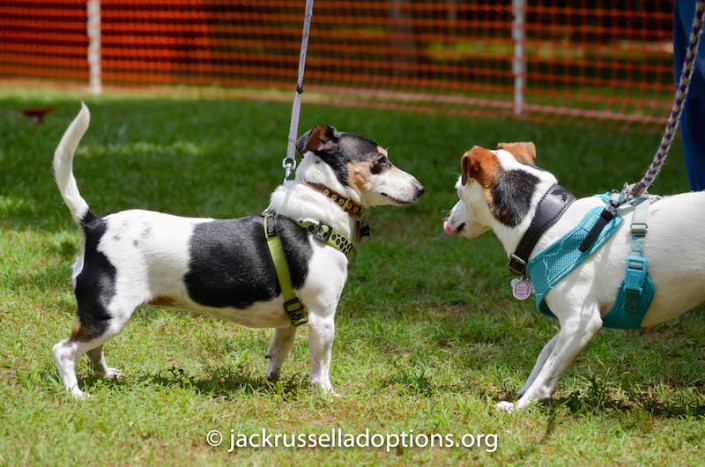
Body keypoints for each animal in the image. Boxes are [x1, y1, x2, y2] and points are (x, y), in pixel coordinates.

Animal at [52, 105, 424, 398]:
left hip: (105, 317)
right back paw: (76, 394)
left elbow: (278, 354)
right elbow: (321, 366)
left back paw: (106, 376)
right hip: (109, 314)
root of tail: (95, 225)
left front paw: (271, 384)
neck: (320, 207)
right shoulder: (322, 318)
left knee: (92, 351)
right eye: (380, 162)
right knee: (64, 350)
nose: (421, 188)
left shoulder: (289, 322)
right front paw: (326, 395)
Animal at [446, 144, 704, 414]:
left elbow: (547, 372)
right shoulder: (572, 323)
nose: (448, 217)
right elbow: (546, 353)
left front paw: (521, 406)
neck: (545, 223)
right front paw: (526, 390)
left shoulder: (582, 323)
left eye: (458, 191)